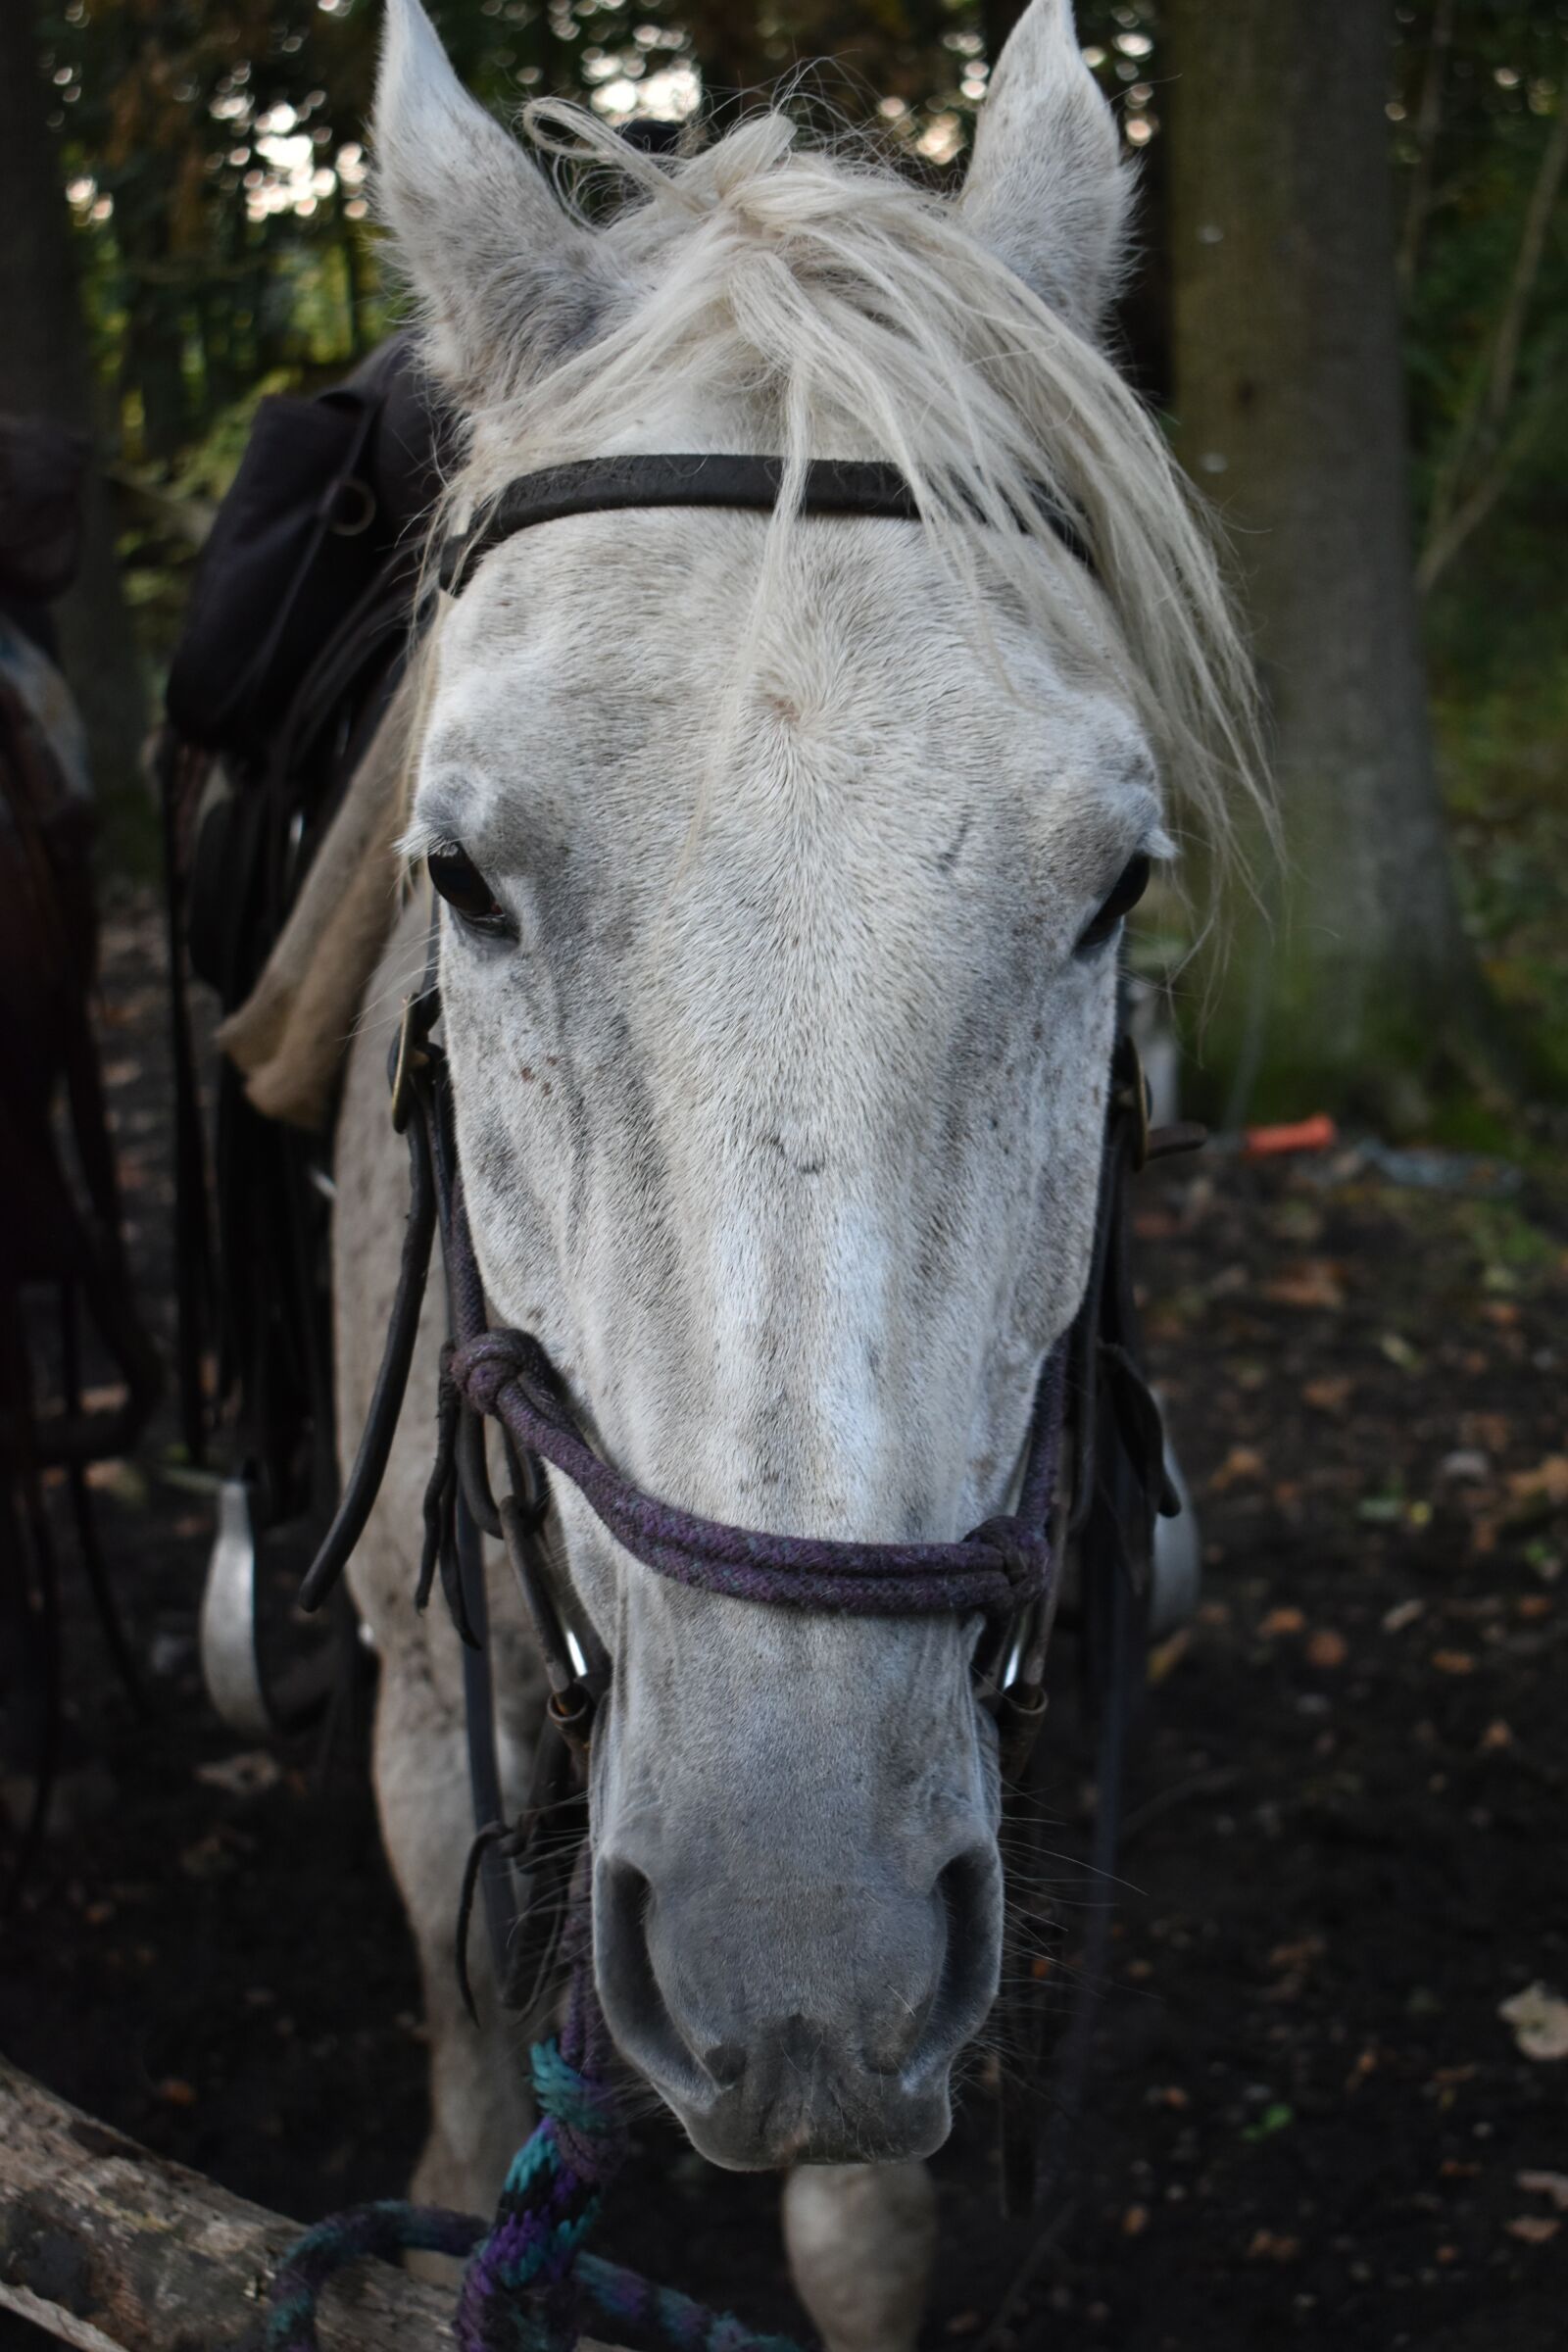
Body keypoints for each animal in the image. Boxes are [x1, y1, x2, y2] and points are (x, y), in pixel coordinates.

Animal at [330, 3, 1262, 2343]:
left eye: (1118, 889)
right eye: (459, 881)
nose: (798, 1961)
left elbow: (863, 2229)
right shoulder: (420, 1703)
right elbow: (461, 2086)